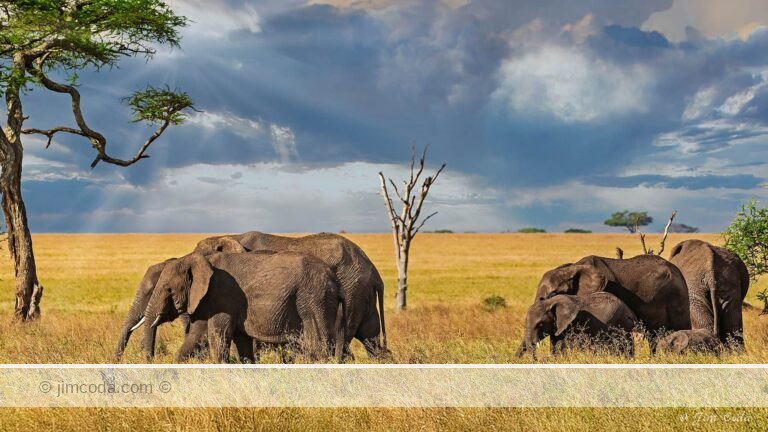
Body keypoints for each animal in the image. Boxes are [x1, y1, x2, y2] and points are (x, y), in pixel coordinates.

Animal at [141, 251, 345, 363]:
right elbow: (205, 337)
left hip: (314, 298)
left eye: (168, 289)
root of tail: (335, 279)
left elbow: (219, 336)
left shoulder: (223, 297)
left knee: (319, 345)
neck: (197, 260)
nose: (150, 359)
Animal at [194, 231, 386, 356]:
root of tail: (373, 271)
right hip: (361, 294)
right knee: (371, 339)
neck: (230, 237)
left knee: (342, 343)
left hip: (351, 291)